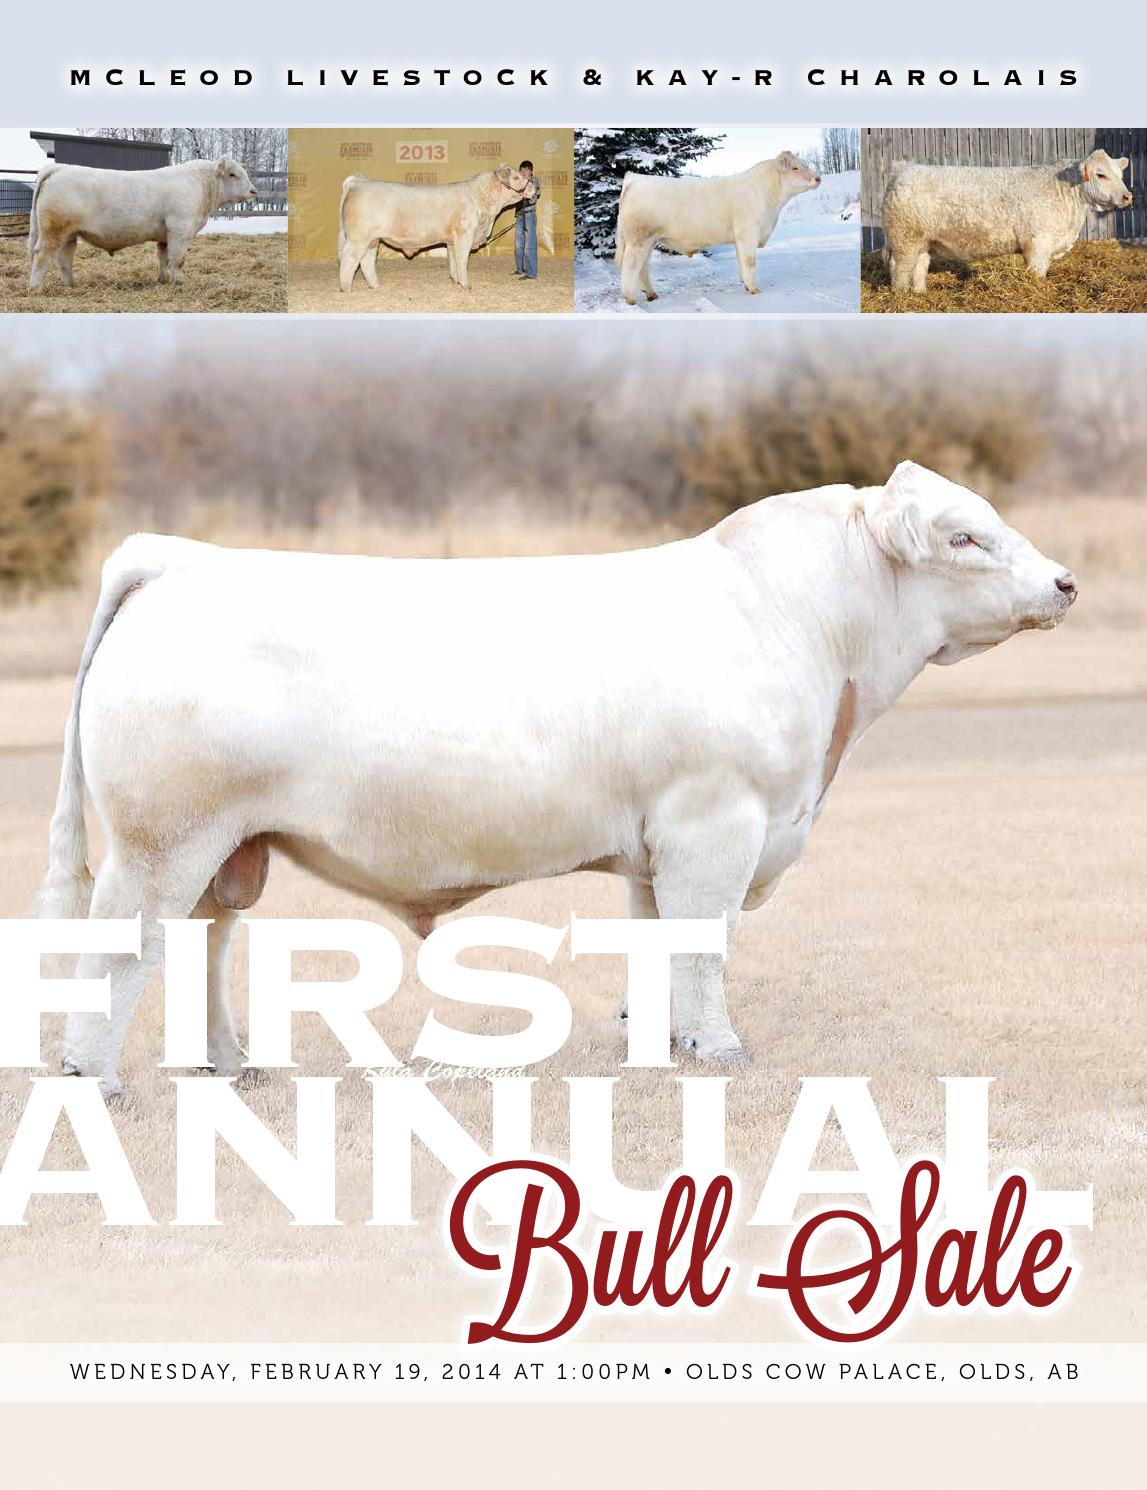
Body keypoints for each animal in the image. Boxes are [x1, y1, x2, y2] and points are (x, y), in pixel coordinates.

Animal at [28, 156, 257, 291]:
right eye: (233, 174)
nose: (254, 191)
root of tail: (59, 168)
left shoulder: (165, 235)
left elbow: (163, 258)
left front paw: (163, 279)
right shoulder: (180, 230)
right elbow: (178, 259)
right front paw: (179, 283)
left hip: (69, 234)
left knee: (64, 260)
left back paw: (71, 286)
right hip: (53, 232)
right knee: (43, 258)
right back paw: (35, 289)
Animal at [34, 462, 1077, 1094]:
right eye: (964, 537)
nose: (1064, 583)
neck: (796, 622)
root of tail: (176, 562)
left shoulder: (660, 848)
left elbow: (661, 950)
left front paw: (667, 1043)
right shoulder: (716, 828)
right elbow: (706, 948)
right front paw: (722, 1050)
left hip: (227, 845)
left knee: (203, 940)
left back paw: (228, 1063)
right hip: (160, 839)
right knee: (125, 947)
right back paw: (97, 1079)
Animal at [337, 164, 536, 292]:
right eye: (516, 177)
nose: (534, 187)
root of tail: (359, 182)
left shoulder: (452, 240)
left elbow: (453, 259)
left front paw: (455, 280)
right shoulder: (464, 235)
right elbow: (462, 260)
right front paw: (466, 285)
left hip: (372, 240)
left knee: (366, 261)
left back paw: (375, 286)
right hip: (358, 238)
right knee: (349, 260)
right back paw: (346, 289)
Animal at [614, 151, 821, 304]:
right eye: (795, 167)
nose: (818, 178)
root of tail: (635, 179)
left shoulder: (740, 237)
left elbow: (741, 261)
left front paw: (745, 285)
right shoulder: (748, 233)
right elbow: (749, 261)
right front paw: (754, 289)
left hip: (649, 240)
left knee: (642, 268)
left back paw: (651, 294)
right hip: (639, 238)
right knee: (630, 267)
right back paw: (630, 298)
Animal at [882, 149, 1133, 292]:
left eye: (1120, 175)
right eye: (1100, 174)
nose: (1127, 196)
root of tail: (904, 169)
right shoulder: (1038, 243)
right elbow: (1037, 273)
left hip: (923, 241)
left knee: (919, 266)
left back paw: (920, 294)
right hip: (905, 238)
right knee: (900, 268)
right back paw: (901, 296)